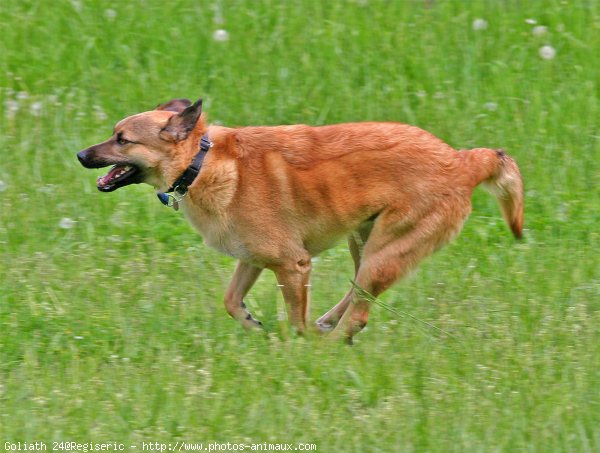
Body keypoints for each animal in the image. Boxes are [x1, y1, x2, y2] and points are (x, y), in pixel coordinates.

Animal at [76, 98, 524, 340]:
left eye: (122, 140)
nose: (80, 155)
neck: (201, 163)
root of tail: (463, 161)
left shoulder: (292, 265)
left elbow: (293, 319)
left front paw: (294, 346)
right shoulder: (253, 259)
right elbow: (231, 301)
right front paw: (253, 324)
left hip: (384, 250)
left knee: (359, 314)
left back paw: (327, 344)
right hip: (364, 242)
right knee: (355, 295)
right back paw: (327, 324)